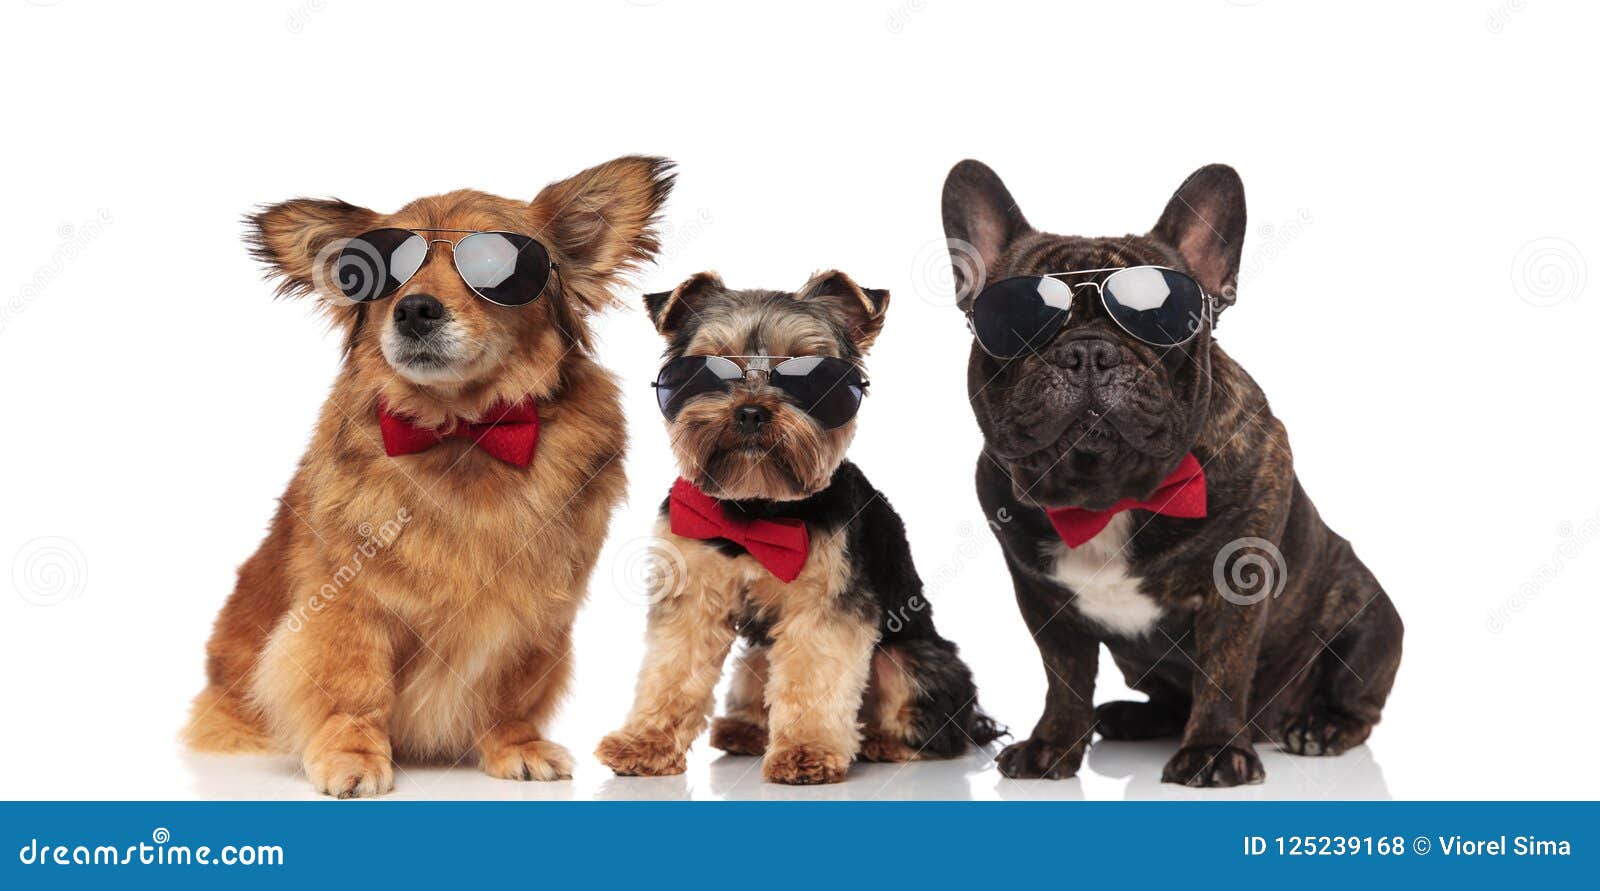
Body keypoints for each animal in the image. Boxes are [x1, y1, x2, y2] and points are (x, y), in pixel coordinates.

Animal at [187, 154, 675, 799]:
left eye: (496, 265)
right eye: (380, 275)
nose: (415, 308)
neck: (461, 431)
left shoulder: (532, 615)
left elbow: (509, 690)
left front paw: (515, 744)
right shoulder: (347, 607)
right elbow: (353, 685)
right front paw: (352, 754)